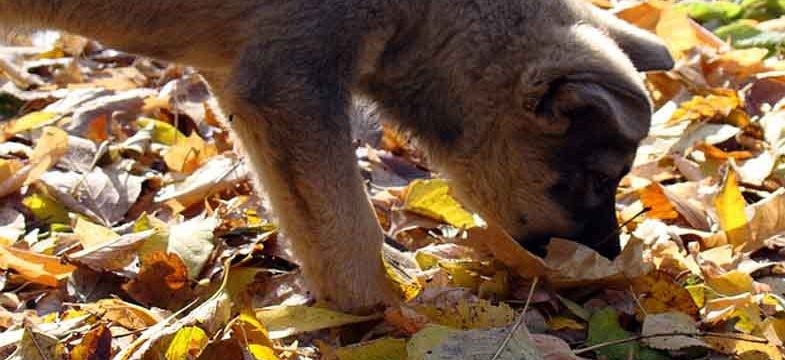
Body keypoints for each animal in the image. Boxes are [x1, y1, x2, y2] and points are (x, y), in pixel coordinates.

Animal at [1, 0, 672, 310]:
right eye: (595, 179)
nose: (606, 267)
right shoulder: (292, 83)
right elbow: (350, 230)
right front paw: (378, 314)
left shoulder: (250, 89)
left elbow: (316, 228)